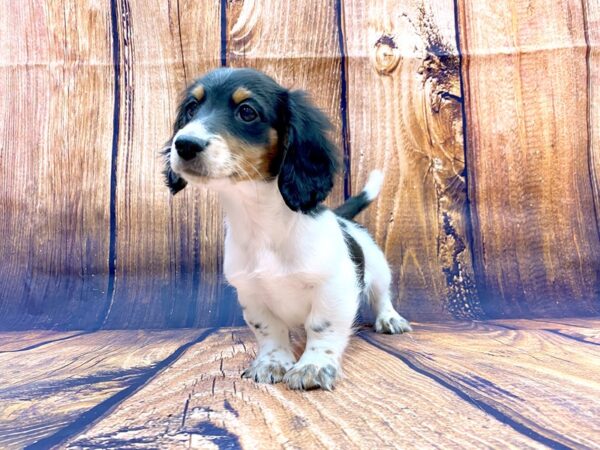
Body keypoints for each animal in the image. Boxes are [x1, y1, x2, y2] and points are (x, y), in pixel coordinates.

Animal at [162, 67, 410, 390]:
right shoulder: (251, 293)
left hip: (378, 269)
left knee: (382, 296)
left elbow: (322, 327)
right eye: (192, 108)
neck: (262, 225)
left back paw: (389, 319)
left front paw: (313, 366)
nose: (185, 144)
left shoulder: (334, 287)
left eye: (247, 111)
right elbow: (270, 331)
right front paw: (272, 362)